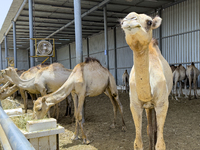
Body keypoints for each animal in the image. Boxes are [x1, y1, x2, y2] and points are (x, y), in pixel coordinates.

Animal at [120, 12, 173, 149]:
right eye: (121, 22)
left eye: (149, 22)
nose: (130, 19)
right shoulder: (135, 105)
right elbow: (137, 142)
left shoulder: (162, 104)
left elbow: (161, 144)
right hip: (148, 107)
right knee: (150, 127)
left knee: (155, 128)